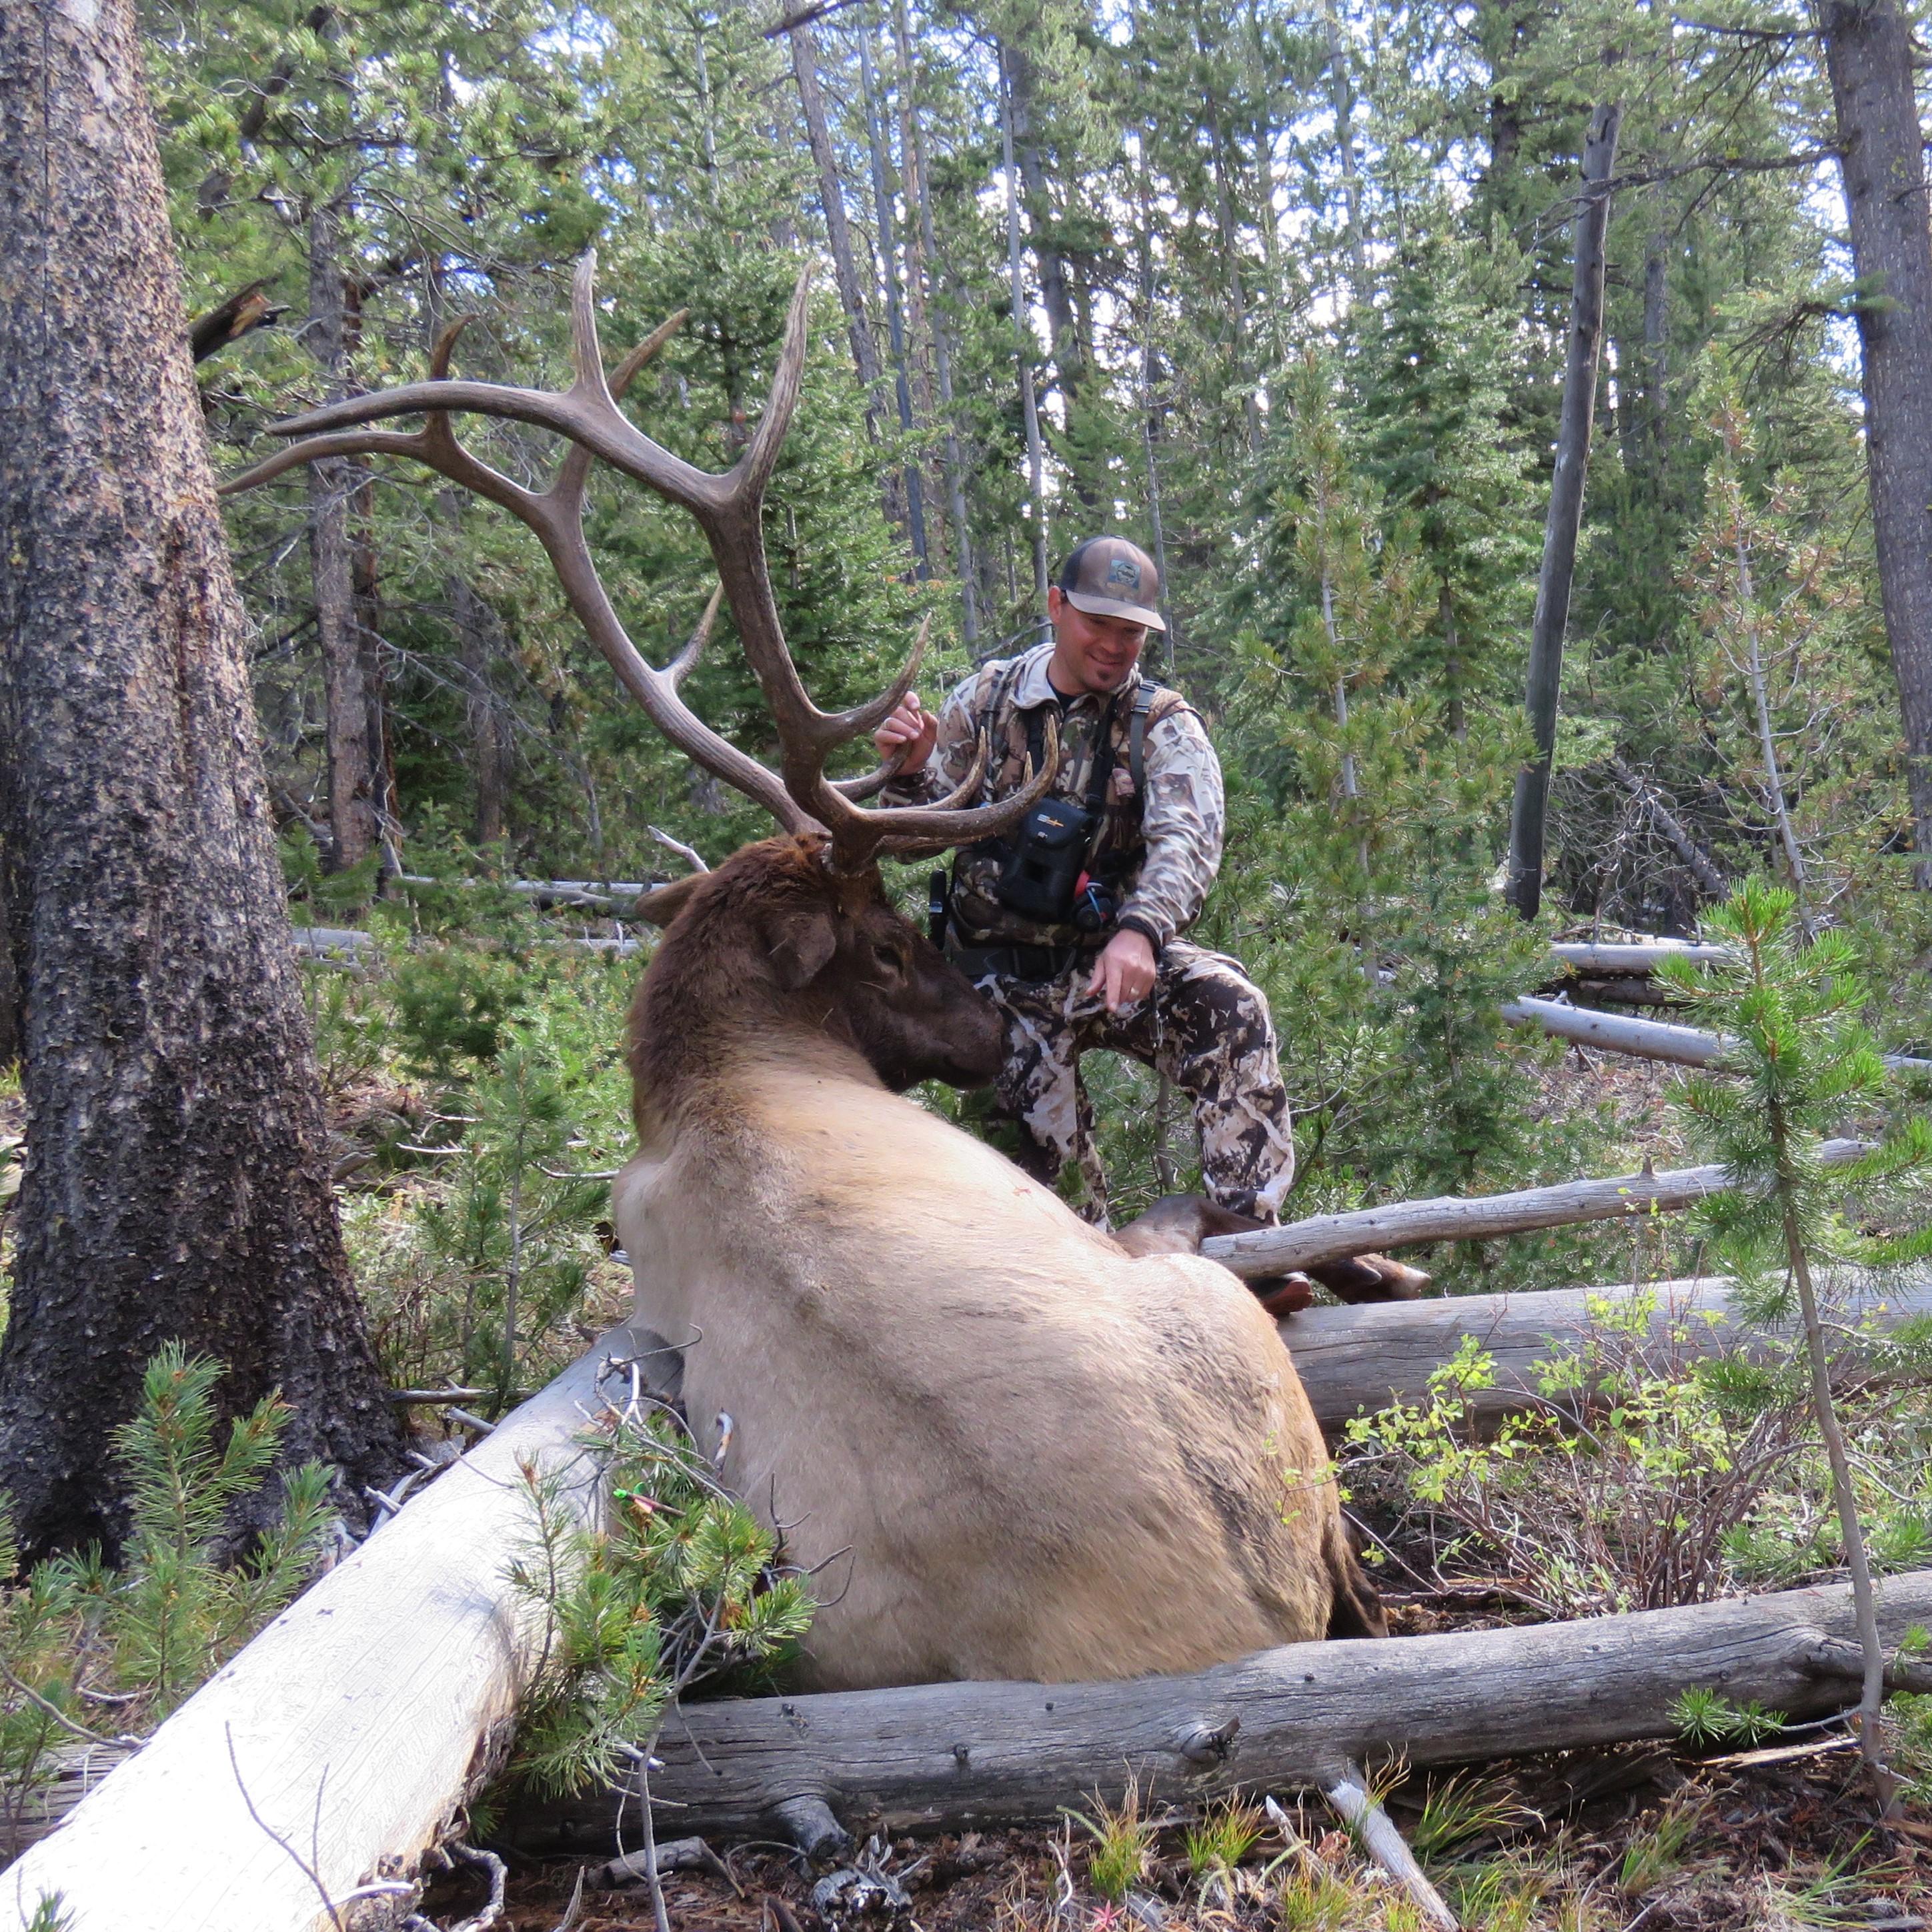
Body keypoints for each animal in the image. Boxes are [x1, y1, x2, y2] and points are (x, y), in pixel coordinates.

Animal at [237, 253, 1390, 1692]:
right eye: (890, 946)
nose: (992, 1037)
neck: (713, 1083)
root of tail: (1246, 1619)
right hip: (1183, 1312)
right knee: (1214, 1243)